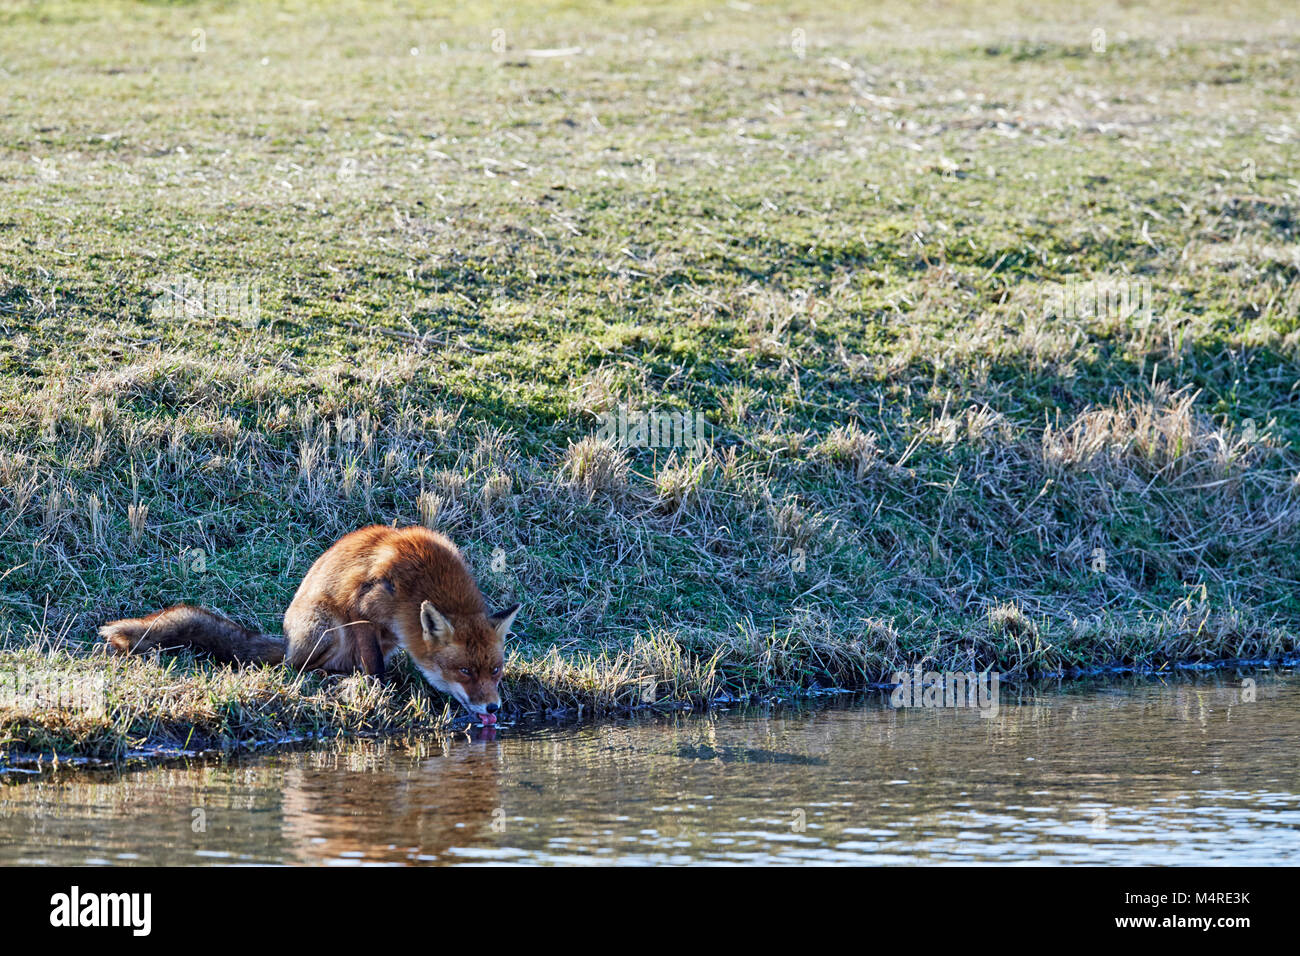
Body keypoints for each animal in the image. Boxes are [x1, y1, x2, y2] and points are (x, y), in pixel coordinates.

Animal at [98, 525, 519, 726]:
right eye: (464, 671)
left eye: (496, 671)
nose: (494, 707)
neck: (423, 580)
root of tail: (286, 640)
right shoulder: (361, 609)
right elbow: (375, 670)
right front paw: (378, 693)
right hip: (328, 627)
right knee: (298, 669)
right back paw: (328, 679)